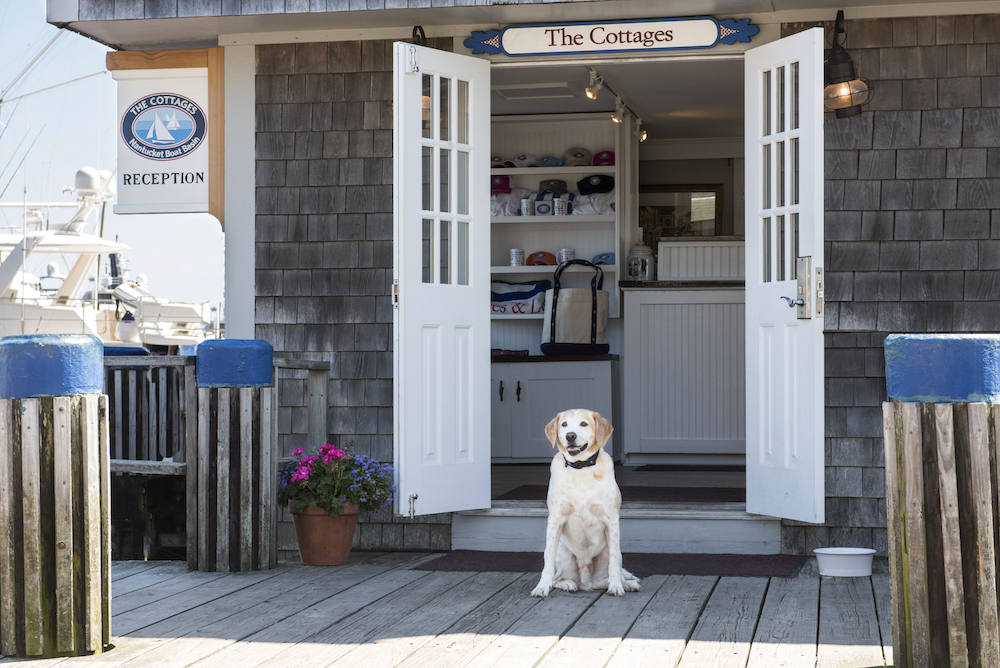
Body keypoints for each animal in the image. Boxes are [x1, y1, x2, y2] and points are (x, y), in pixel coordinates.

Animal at [532, 410, 640, 596]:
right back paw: (568, 584)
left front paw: (617, 586)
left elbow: (613, 567)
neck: (580, 467)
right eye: (564, 424)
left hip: (614, 554)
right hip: (563, 553)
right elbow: (548, 564)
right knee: (557, 578)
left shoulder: (611, 519)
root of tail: (585, 581)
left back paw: (626, 584)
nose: (570, 436)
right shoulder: (555, 520)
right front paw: (542, 587)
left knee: (610, 575)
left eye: (584, 424)